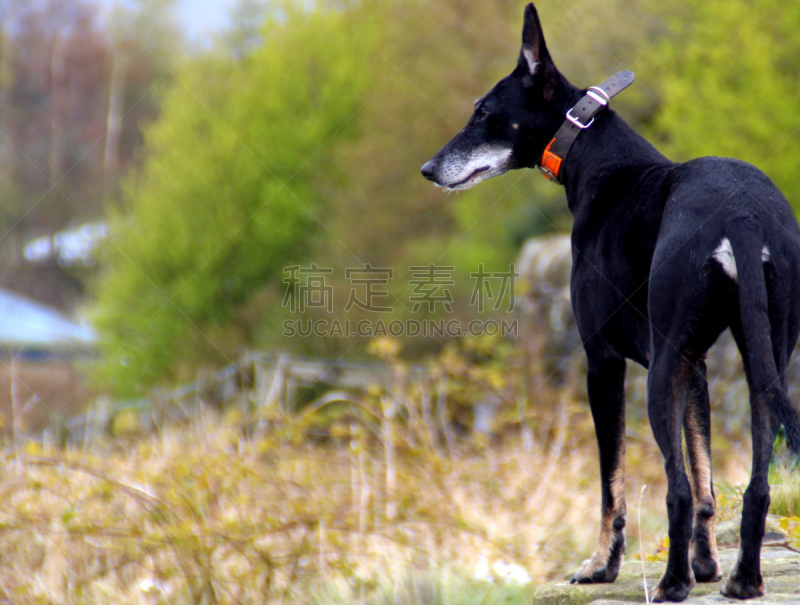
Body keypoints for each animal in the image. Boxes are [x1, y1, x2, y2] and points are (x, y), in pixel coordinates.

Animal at [418, 3, 800, 600]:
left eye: (483, 112)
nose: (429, 170)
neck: (598, 160)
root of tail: (741, 215)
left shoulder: (604, 363)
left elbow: (612, 483)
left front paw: (602, 565)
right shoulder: (696, 367)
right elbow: (706, 477)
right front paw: (707, 565)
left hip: (657, 374)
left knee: (674, 488)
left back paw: (671, 583)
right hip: (765, 360)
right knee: (754, 483)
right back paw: (742, 579)